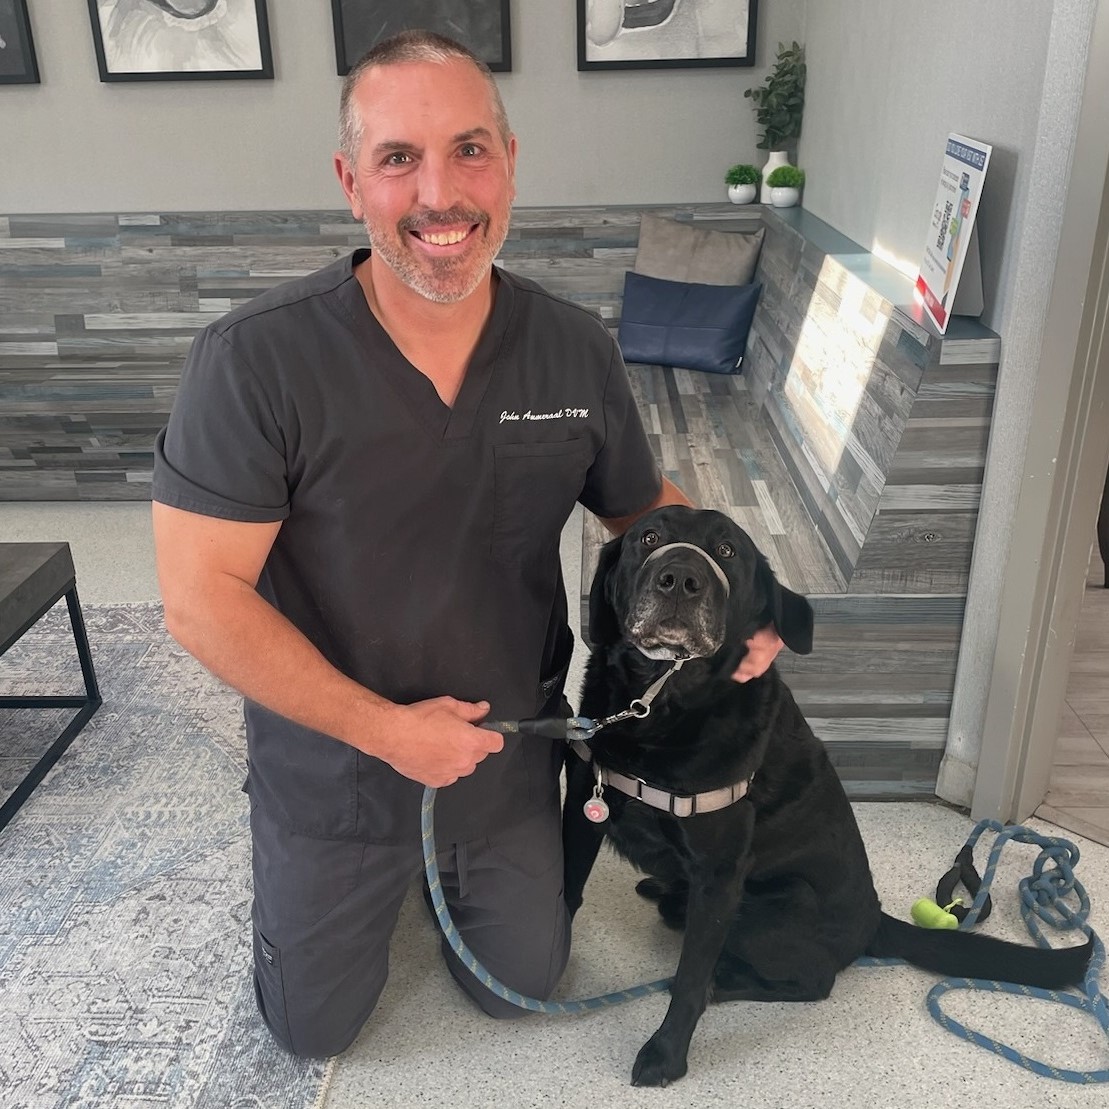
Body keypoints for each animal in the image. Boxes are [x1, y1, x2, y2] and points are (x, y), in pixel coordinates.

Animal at [563, 507, 1091, 1086]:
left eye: (727, 551)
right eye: (649, 536)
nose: (680, 578)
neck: (657, 705)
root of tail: (873, 920)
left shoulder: (719, 875)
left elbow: (687, 982)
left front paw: (666, 1054)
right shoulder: (581, 811)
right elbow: (565, 895)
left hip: (768, 908)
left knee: (815, 980)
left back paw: (727, 981)